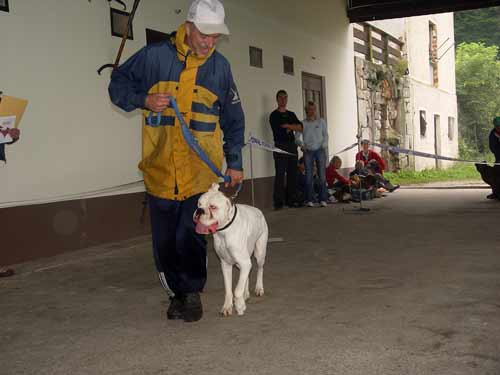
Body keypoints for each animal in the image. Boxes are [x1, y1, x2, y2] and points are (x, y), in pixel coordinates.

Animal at [193, 184, 268, 316]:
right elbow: (229, 289)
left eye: (213, 207)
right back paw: (245, 293)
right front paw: (227, 306)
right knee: (247, 272)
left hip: (259, 254)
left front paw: (239, 305)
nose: (199, 211)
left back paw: (259, 288)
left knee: (259, 269)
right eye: (199, 204)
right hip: (241, 262)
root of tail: (258, 210)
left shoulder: (243, 262)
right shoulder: (226, 265)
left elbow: (237, 290)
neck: (224, 232)